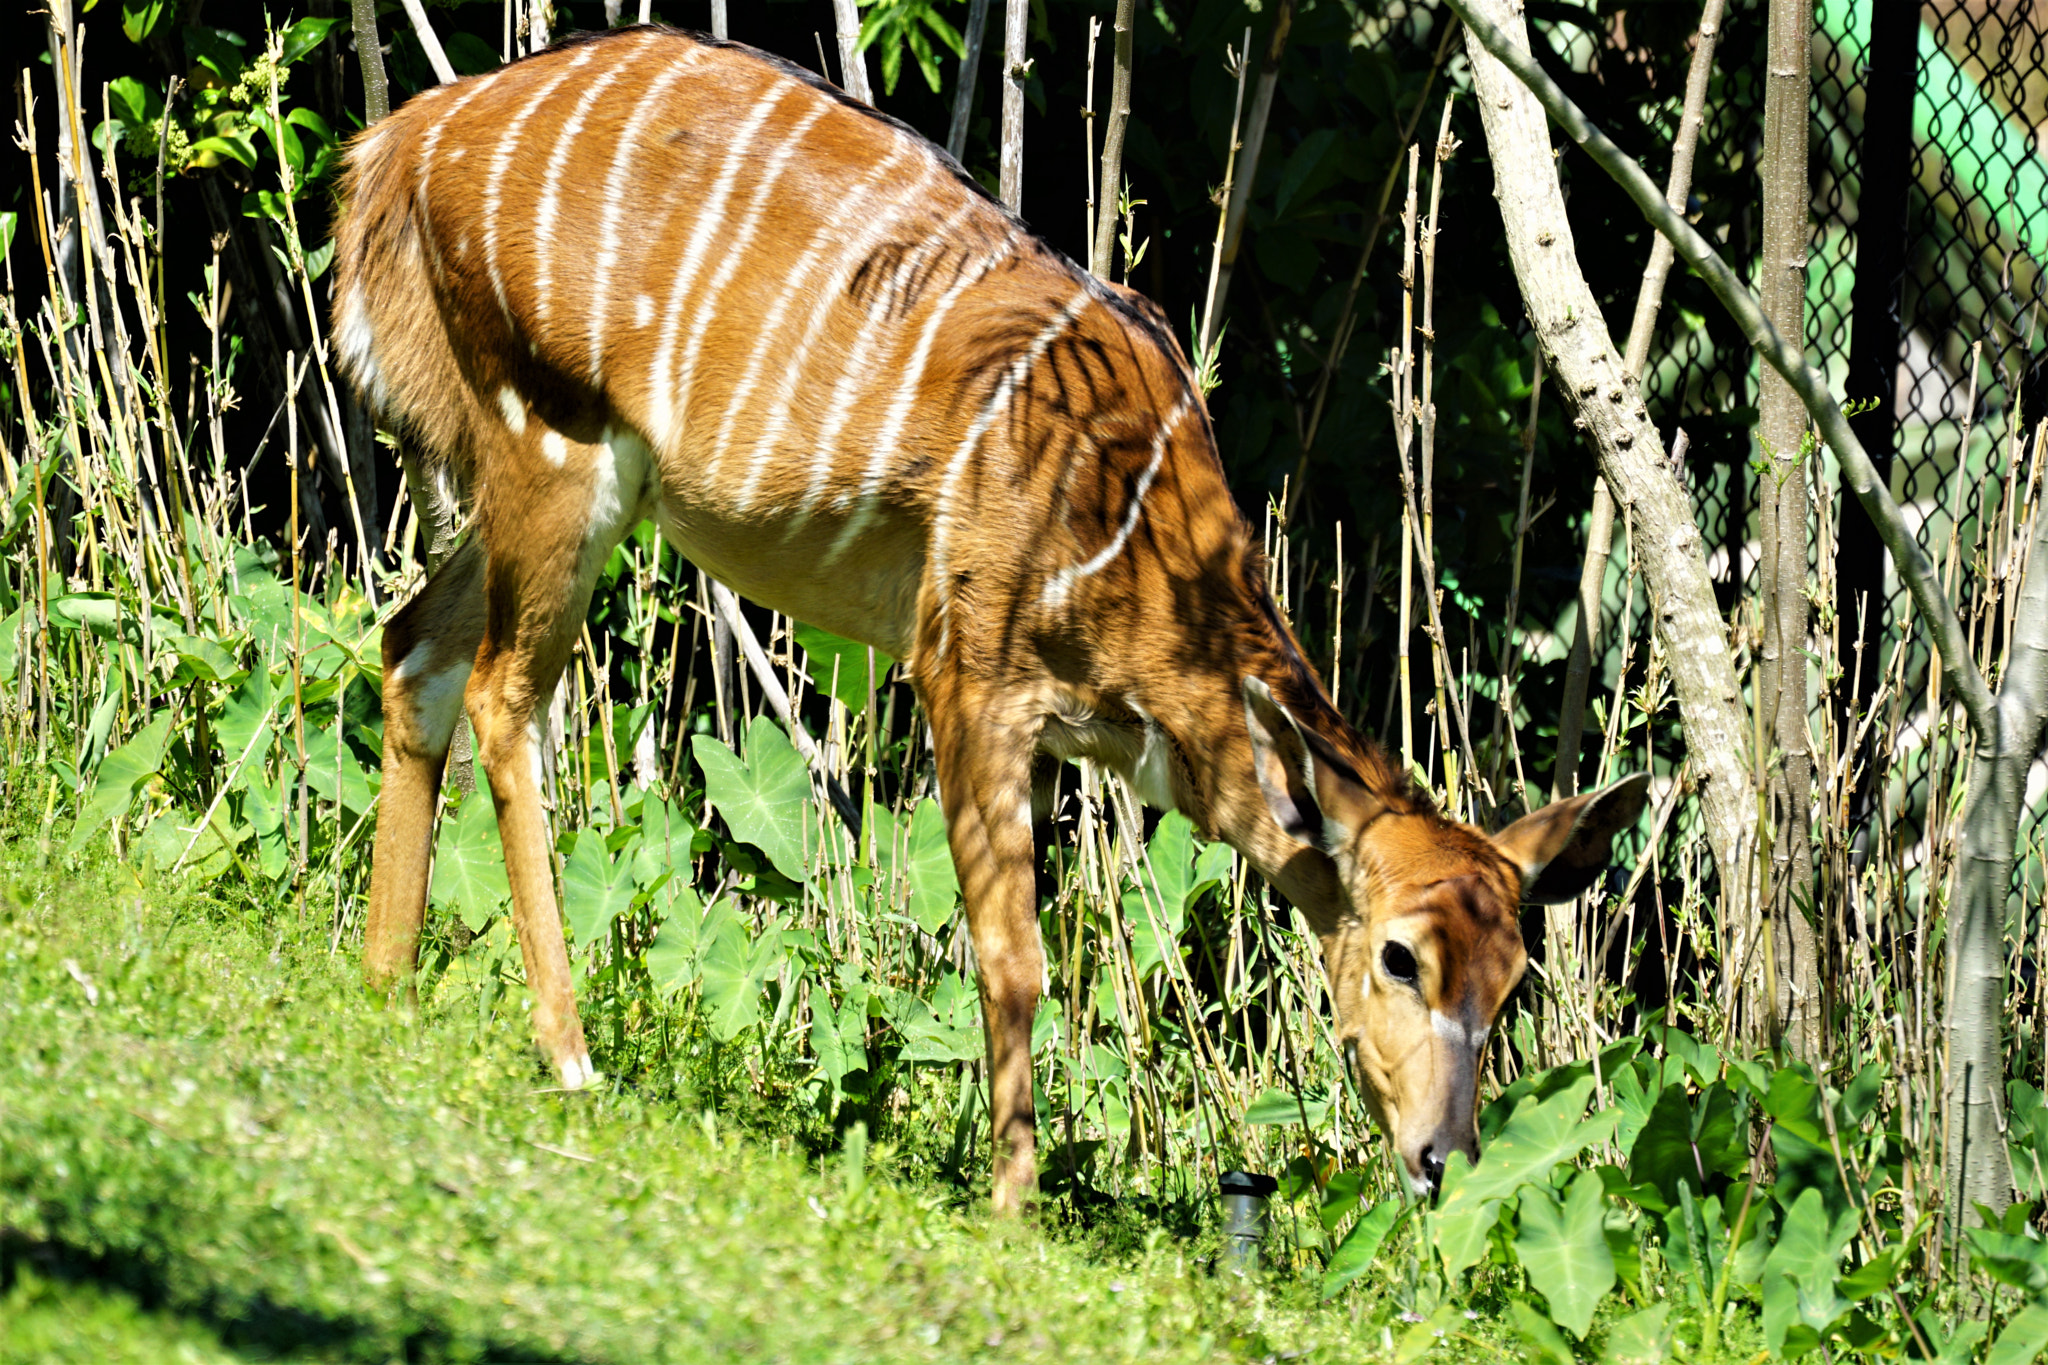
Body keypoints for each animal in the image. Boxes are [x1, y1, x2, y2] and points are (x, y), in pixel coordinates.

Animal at [334, 25, 1650, 1211]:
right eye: (1397, 955)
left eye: (1513, 980)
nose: (1441, 1159)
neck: (1132, 544)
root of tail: (395, 148)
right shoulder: (965, 668)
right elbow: (1015, 962)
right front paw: (1011, 1200)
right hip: (553, 443)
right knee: (503, 694)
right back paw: (567, 1053)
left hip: (540, 478)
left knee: (410, 648)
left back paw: (384, 984)